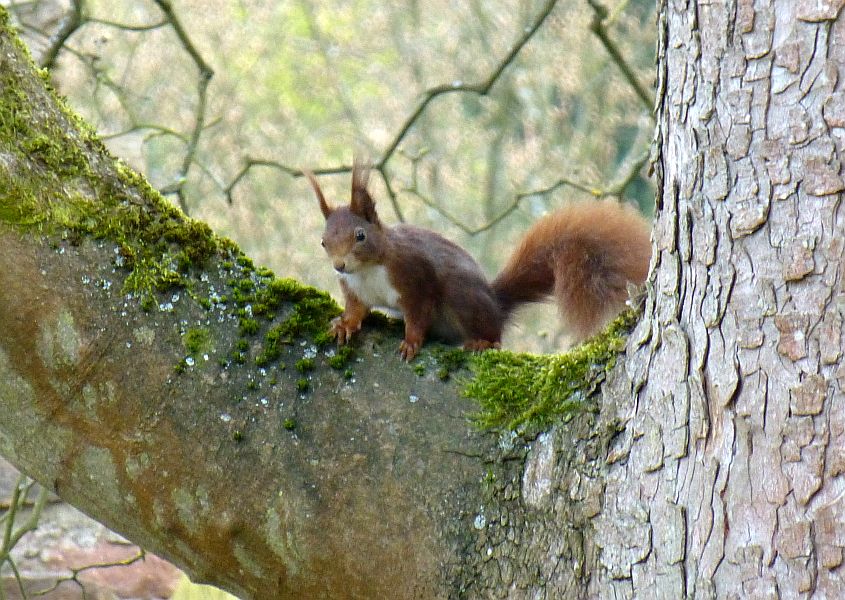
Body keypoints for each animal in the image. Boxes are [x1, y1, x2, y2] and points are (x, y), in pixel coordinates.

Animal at [304, 161, 652, 360]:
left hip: (463, 298)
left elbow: (418, 313)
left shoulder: (415, 277)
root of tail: (496, 305)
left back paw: (483, 343)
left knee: (495, 335)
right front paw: (345, 325)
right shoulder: (355, 289)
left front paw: (411, 342)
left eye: (360, 236)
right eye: (323, 242)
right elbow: (356, 309)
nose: (339, 265)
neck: (368, 270)